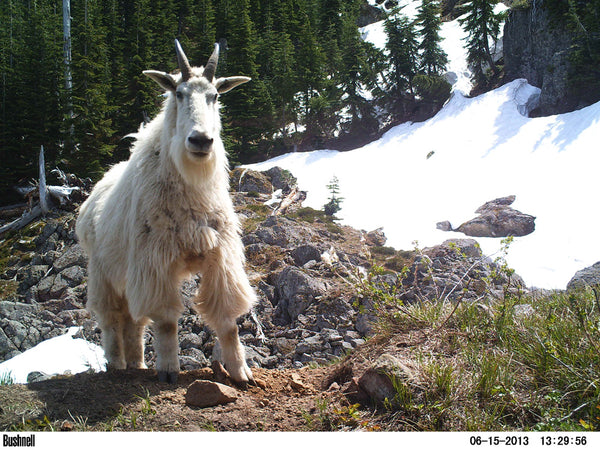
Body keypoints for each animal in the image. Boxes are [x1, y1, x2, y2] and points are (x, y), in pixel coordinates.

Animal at [75, 41, 255, 384]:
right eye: (179, 93)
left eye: (215, 95)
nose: (200, 140)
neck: (191, 186)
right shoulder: (154, 260)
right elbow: (167, 322)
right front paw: (170, 370)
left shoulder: (218, 254)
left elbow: (228, 321)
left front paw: (242, 372)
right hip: (103, 271)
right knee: (111, 318)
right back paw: (116, 363)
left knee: (133, 321)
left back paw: (137, 363)